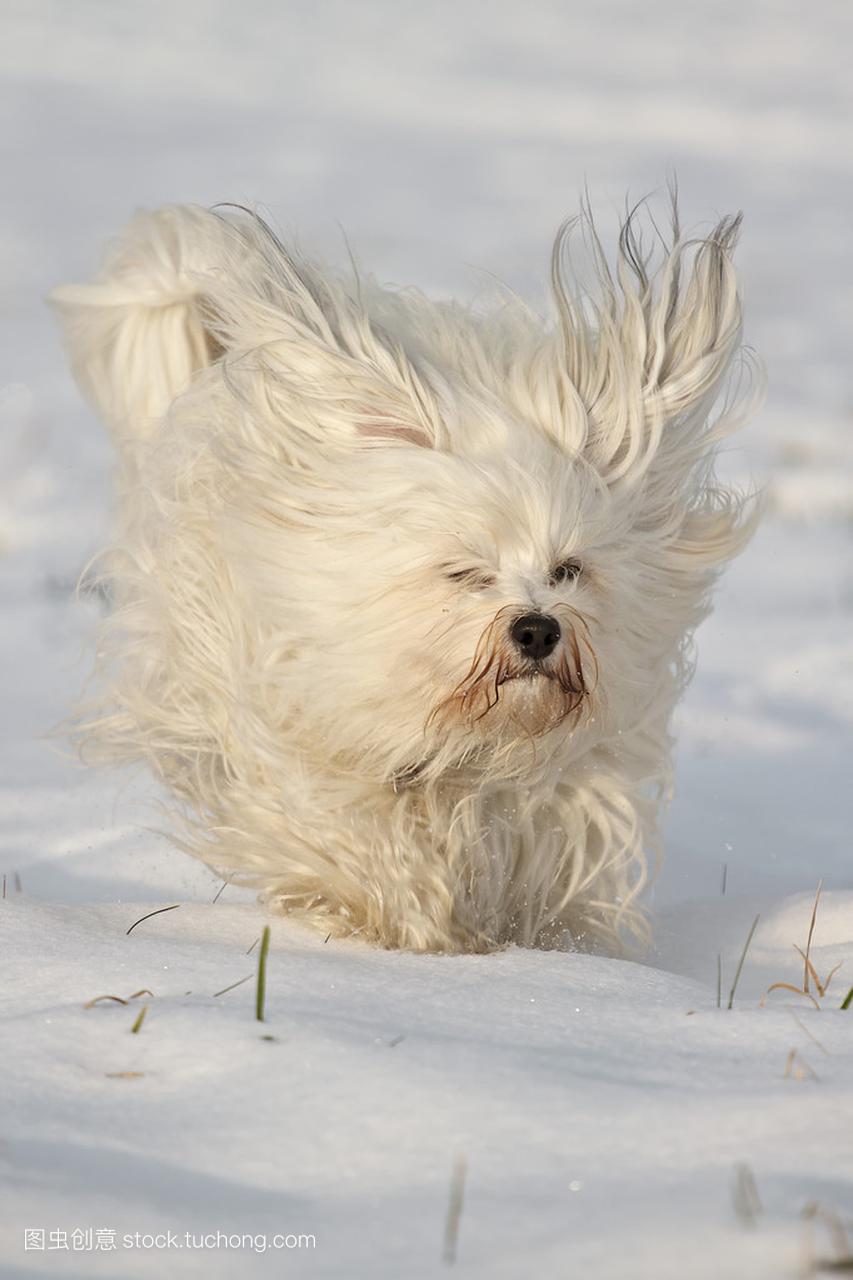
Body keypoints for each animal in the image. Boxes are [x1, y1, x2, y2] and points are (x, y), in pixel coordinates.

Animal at [49, 199, 753, 957]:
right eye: (465, 571)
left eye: (568, 570)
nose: (537, 629)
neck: (470, 739)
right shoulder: (302, 738)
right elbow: (352, 835)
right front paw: (400, 922)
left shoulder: (568, 786)